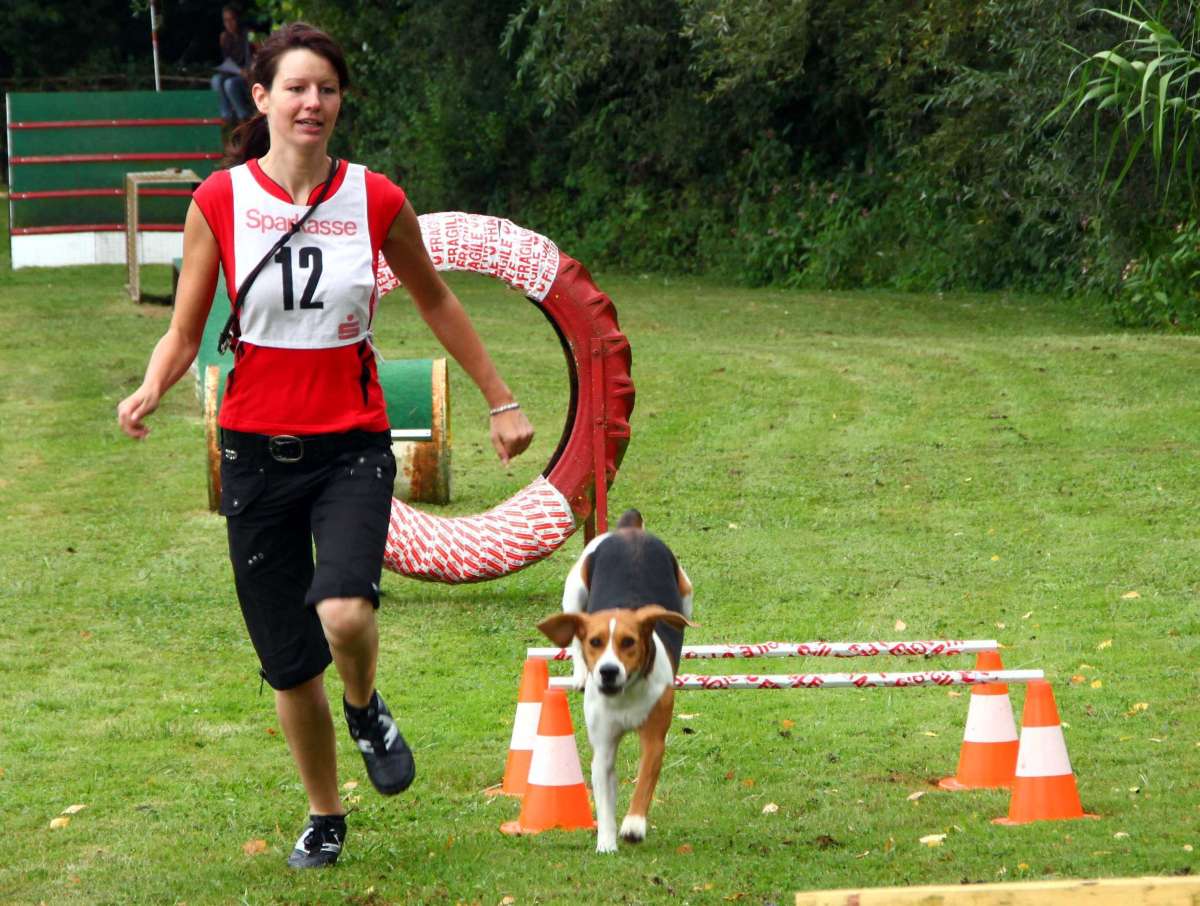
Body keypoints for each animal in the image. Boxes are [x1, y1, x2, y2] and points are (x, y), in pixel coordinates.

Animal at [542, 513, 700, 854]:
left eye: (629, 642)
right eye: (596, 642)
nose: (608, 671)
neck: (624, 695)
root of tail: (630, 529)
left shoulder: (654, 738)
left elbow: (644, 783)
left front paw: (634, 825)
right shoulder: (602, 748)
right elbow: (604, 799)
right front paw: (606, 843)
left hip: (686, 593)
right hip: (574, 592)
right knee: (572, 629)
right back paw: (579, 674)